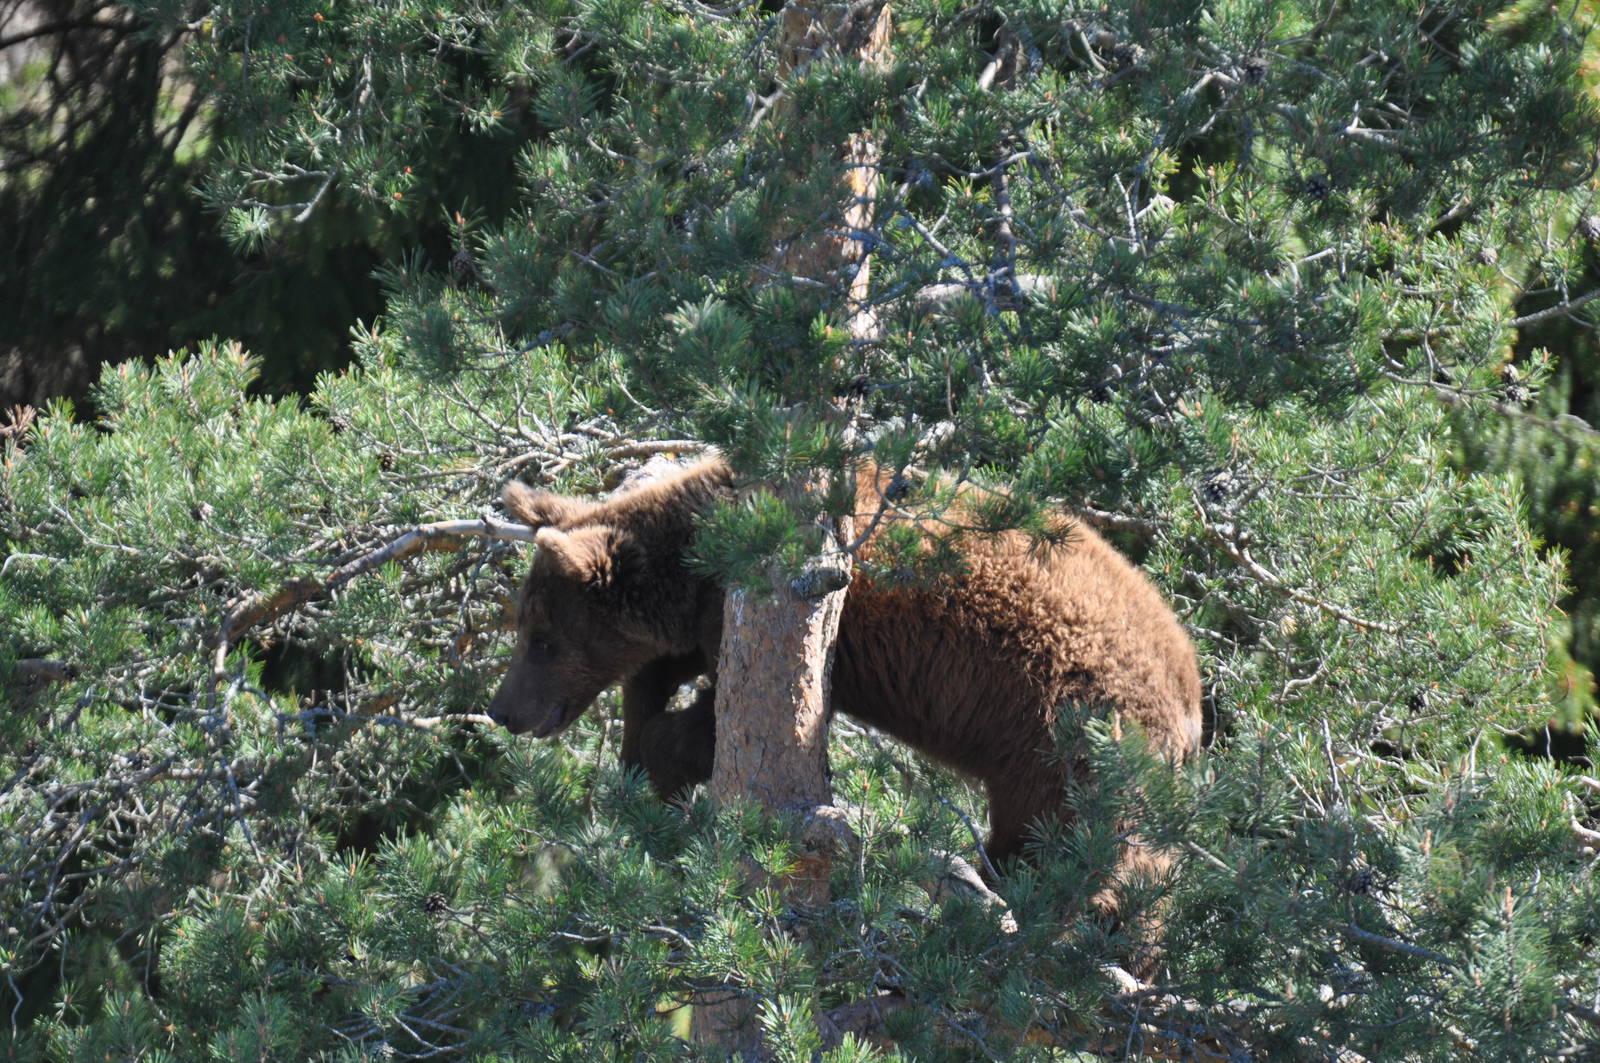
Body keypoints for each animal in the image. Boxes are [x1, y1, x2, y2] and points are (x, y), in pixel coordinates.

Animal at [486, 457, 1202, 879]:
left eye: (542, 640)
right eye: (525, 627)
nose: (502, 709)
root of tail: (1191, 686)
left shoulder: (804, 625)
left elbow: (733, 720)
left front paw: (661, 763)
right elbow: (661, 685)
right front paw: (637, 760)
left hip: (1063, 726)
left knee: (1069, 837)